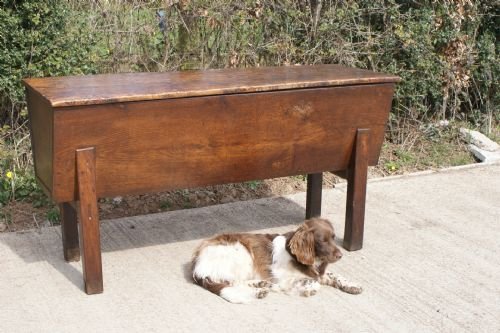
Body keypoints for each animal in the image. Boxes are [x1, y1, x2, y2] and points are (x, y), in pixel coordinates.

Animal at [190, 217, 360, 302]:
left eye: (333, 238)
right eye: (322, 241)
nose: (340, 255)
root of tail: (198, 264)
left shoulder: (317, 272)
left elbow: (335, 276)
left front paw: (352, 284)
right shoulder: (282, 277)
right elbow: (313, 282)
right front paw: (307, 289)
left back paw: (261, 285)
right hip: (241, 254)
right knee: (232, 282)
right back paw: (260, 289)